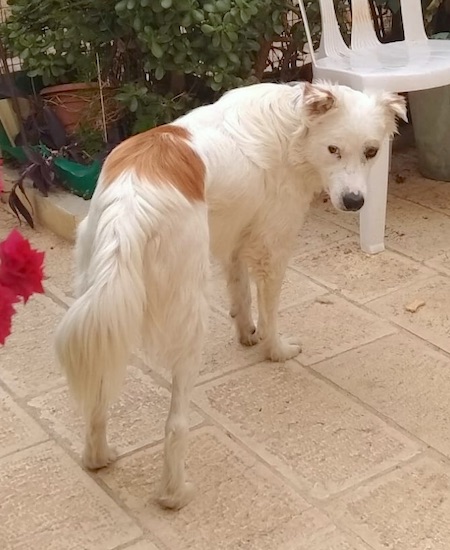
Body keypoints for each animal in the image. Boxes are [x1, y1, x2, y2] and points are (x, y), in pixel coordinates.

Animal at [53, 82, 408, 512]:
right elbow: (270, 309)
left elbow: (240, 291)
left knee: (98, 394)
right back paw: (174, 494)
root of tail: (130, 203)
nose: (356, 202)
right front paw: (276, 349)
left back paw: (98, 457)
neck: (293, 128)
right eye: (333, 150)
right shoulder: (273, 245)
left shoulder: (238, 233)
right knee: (175, 424)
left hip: (102, 307)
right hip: (188, 317)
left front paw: (246, 333)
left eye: (371, 151)